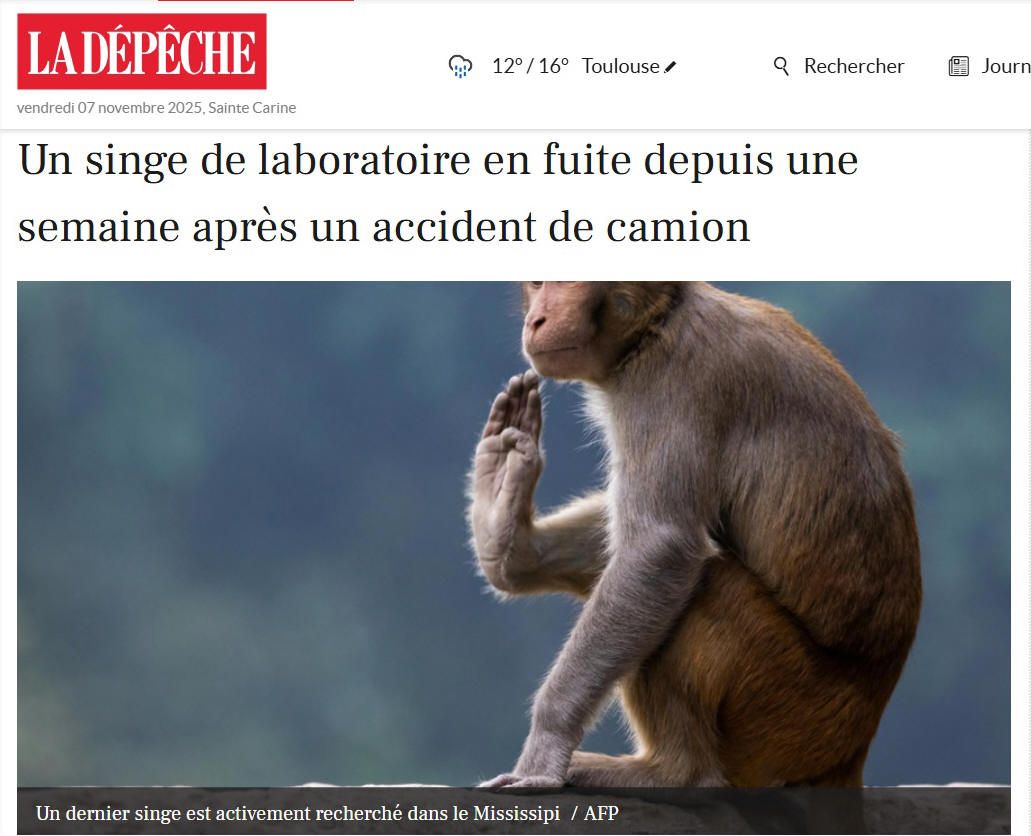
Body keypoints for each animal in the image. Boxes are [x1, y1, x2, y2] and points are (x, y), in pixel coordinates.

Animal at [467, 281, 921, 789]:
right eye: (537, 285)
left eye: (565, 284)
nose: (536, 320)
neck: (658, 324)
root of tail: (852, 751)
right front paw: (508, 534)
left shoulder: (674, 384)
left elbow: (658, 548)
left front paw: (544, 749)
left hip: (790, 710)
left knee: (706, 582)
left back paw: (672, 771)